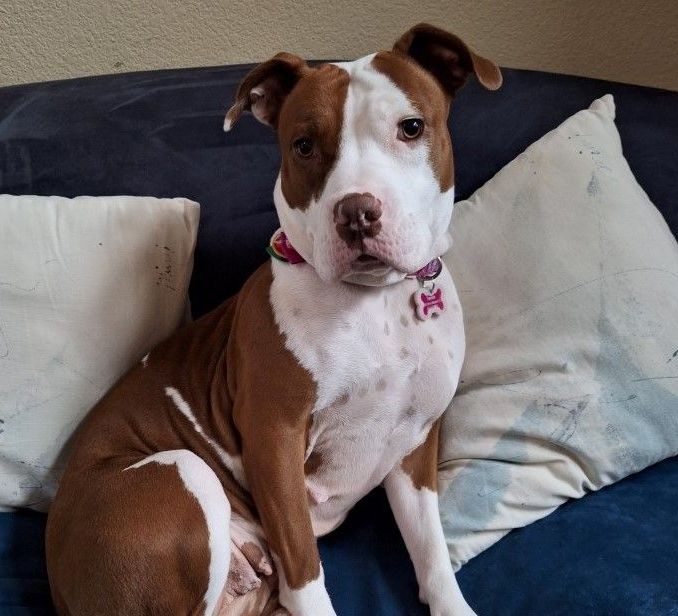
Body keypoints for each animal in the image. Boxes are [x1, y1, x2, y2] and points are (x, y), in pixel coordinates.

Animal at [45, 22, 502, 616]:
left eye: (412, 127)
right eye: (303, 145)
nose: (357, 212)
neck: (375, 302)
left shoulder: (416, 442)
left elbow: (431, 550)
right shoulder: (275, 438)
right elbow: (305, 570)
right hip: (185, 472)